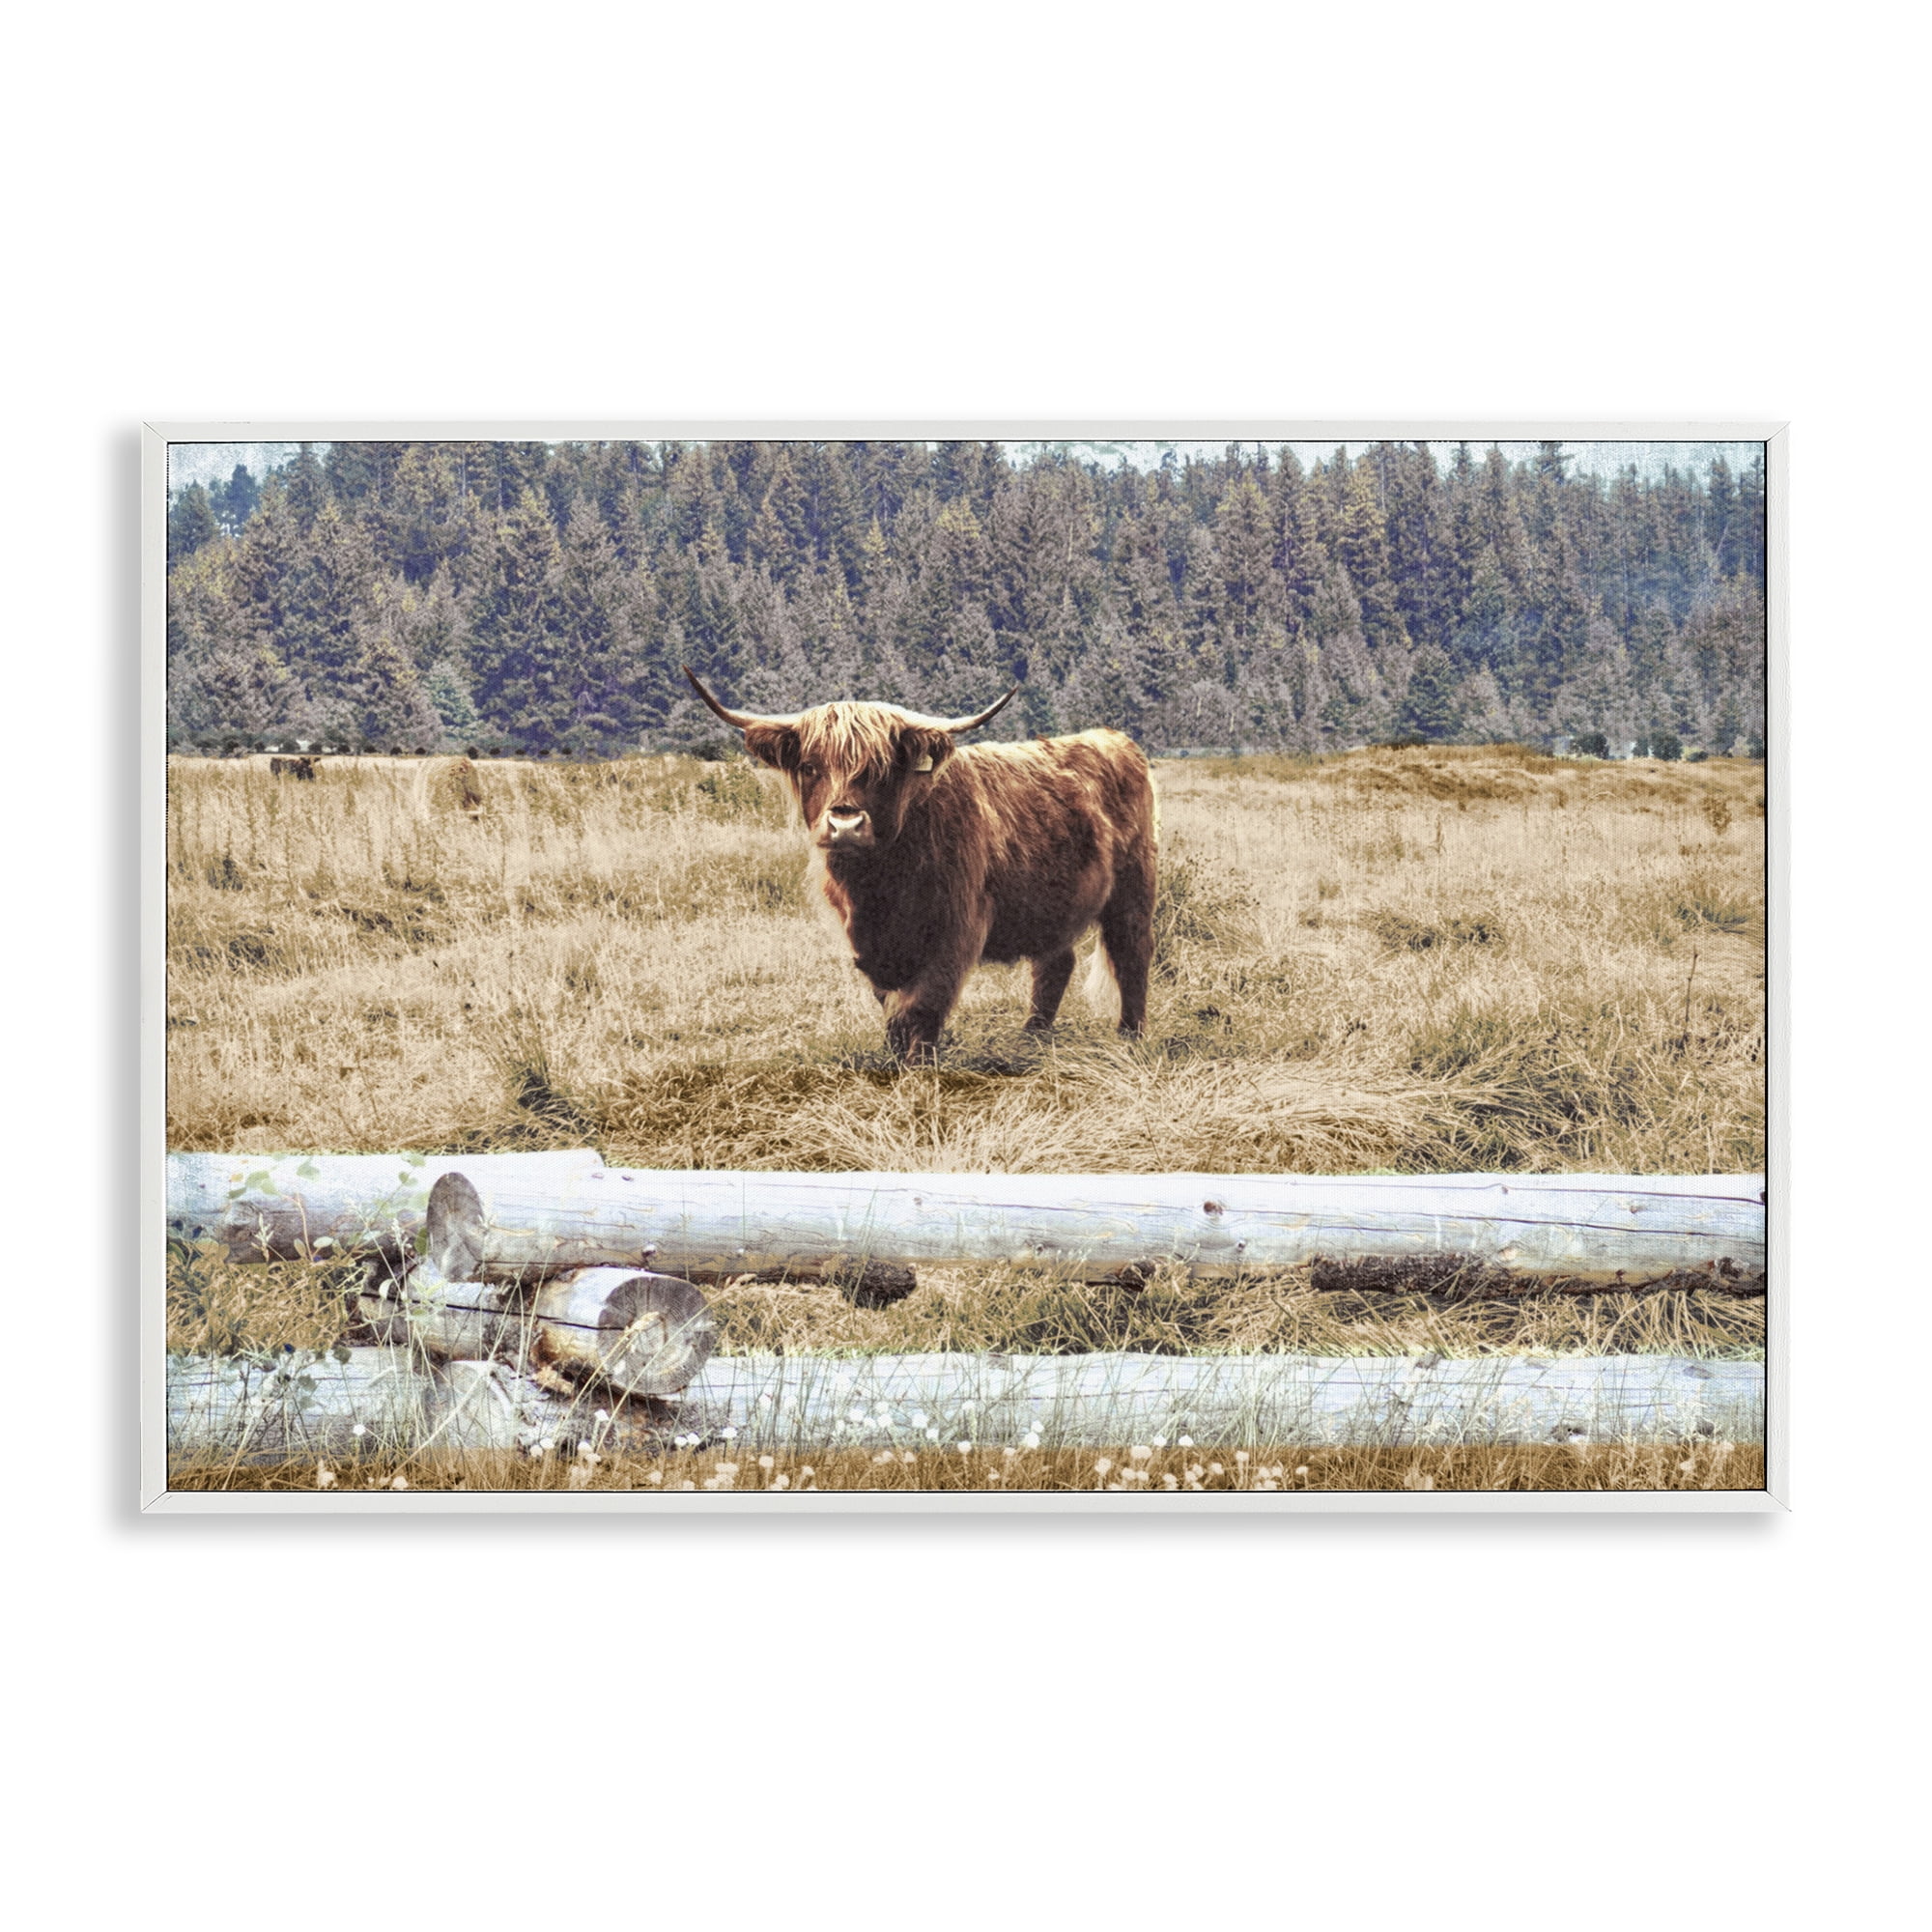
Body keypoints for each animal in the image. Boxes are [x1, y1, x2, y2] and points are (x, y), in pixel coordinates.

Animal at [684, 667, 1157, 1063]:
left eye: (881, 769)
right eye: (810, 766)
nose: (845, 824)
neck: (879, 887)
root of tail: (1114, 738)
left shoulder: (956, 929)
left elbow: (923, 1004)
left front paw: (919, 1067)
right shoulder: (868, 944)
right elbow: (891, 1007)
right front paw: (895, 1059)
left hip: (1134, 888)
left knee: (1131, 954)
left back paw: (1129, 1038)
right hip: (1052, 902)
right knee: (1055, 964)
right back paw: (1032, 1038)